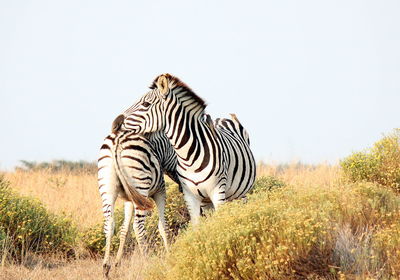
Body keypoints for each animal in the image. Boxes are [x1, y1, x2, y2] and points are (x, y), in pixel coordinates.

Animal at [97, 117, 178, 276]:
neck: (158, 151)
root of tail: (117, 139)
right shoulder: (160, 191)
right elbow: (163, 226)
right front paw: (170, 256)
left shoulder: (130, 198)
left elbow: (124, 228)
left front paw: (117, 263)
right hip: (141, 186)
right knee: (138, 227)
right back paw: (147, 264)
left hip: (107, 188)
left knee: (109, 223)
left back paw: (106, 267)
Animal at [112, 73, 256, 224]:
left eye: (146, 104)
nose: (114, 124)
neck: (189, 156)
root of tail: (221, 119)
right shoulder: (191, 196)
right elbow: (197, 225)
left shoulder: (218, 192)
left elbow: (219, 223)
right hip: (207, 201)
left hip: (240, 192)